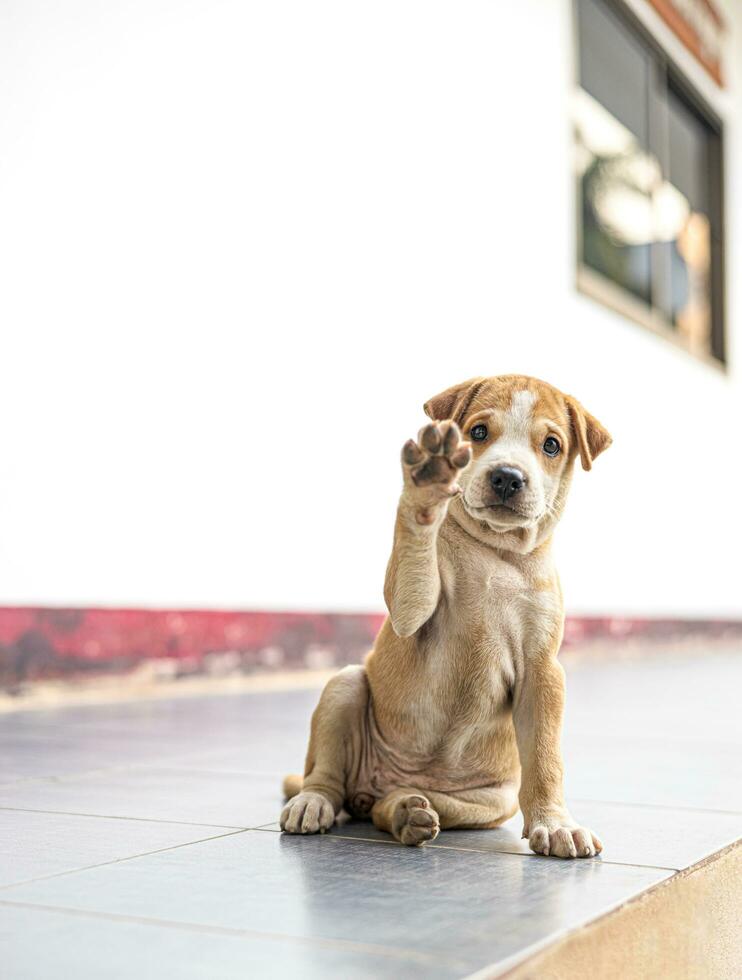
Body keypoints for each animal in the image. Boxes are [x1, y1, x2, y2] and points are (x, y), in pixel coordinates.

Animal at [282, 376, 612, 856]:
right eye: (478, 432)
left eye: (551, 445)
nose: (507, 477)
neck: (497, 553)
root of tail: (370, 788)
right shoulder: (413, 612)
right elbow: (416, 552)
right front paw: (427, 484)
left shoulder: (543, 672)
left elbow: (546, 758)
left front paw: (555, 824)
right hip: (343, 687)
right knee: (326, 776)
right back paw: (314, 803)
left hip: (490, 803)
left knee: (391, 807)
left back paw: (406, 812)